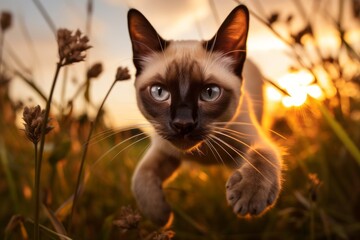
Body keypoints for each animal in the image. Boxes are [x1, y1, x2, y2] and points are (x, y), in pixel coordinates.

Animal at [128, 4, 282, 226]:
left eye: (209, 93)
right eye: (159, 92)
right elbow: (140, 176)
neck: (204, 153)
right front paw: (161, 217)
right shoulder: (163, 149)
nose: (183, 124)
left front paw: (248, 195)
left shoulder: (251, 142)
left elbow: (263, 156)